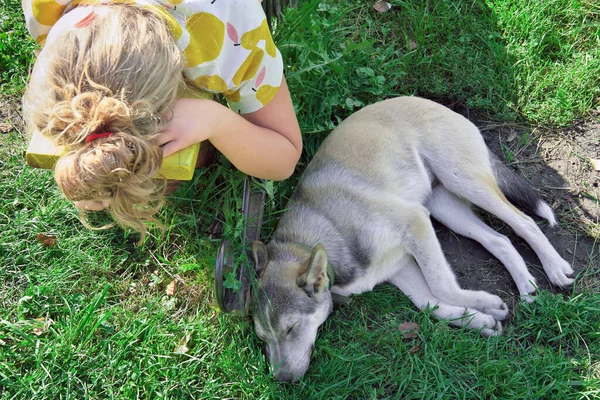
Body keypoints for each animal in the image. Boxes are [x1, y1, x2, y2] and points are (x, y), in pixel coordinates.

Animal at [248, 96, 572, 382]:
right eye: (263, 339)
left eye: (291, 328)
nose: (282, 380)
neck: (325, 232)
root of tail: (428, 102)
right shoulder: (398, 267)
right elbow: (430, 304)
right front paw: (480, 319)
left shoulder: (415, 222)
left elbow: (441, 285)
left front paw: (487, 303)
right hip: (444, 206)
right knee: (500, 240)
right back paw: (525, 283)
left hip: (462, 180)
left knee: (525, 222)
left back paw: (555, 268)